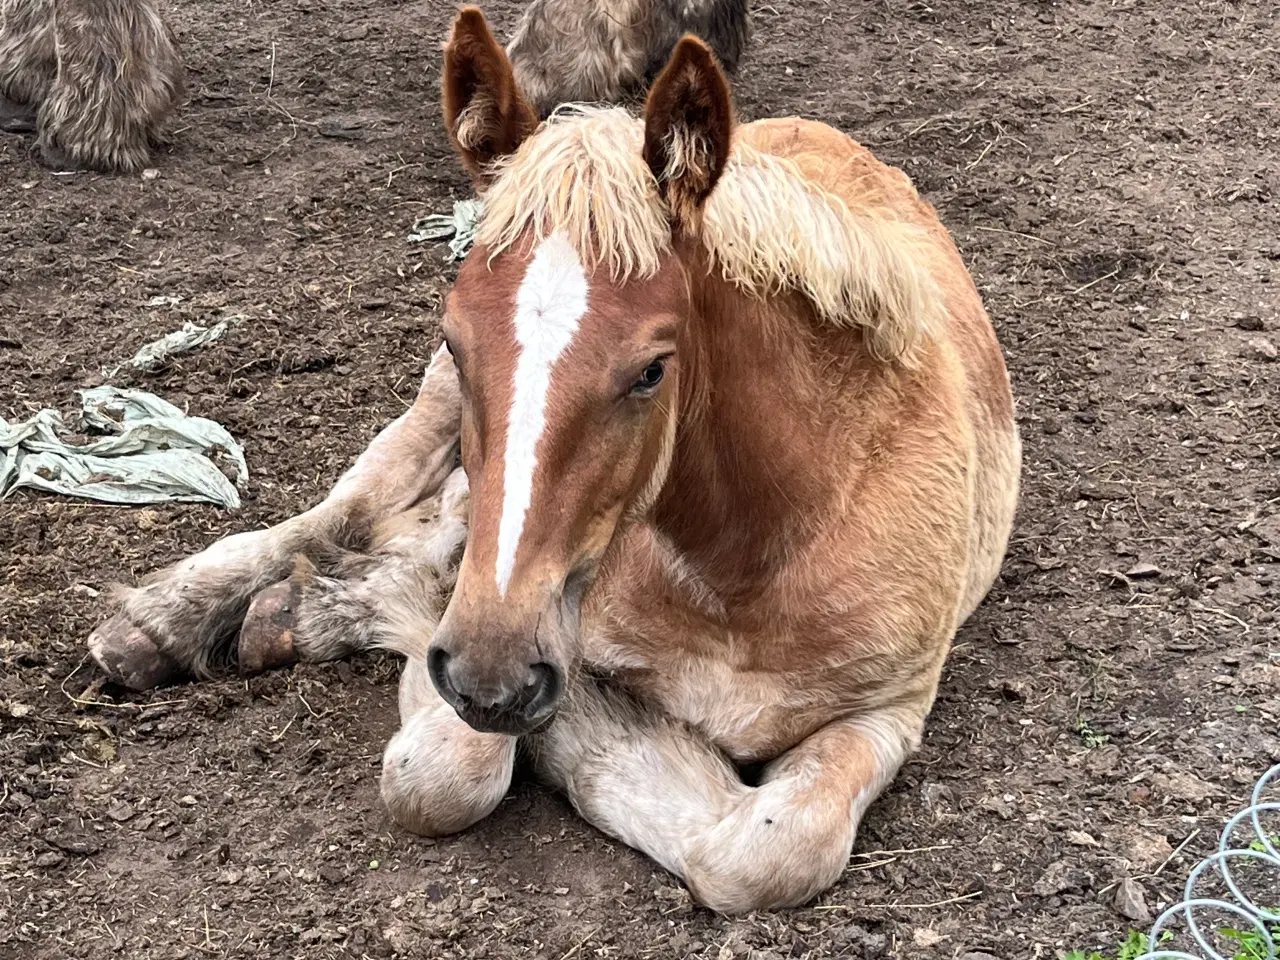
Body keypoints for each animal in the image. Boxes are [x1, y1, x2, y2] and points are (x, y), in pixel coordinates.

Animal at [85, 5, 1018, 911]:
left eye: (652, 370)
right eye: (456, 340)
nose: (488, 674)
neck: (763, 557)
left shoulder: (890, 711)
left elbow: (764, 855)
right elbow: (442, 774)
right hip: (427, 434)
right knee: (352, 508)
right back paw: (169, 619)